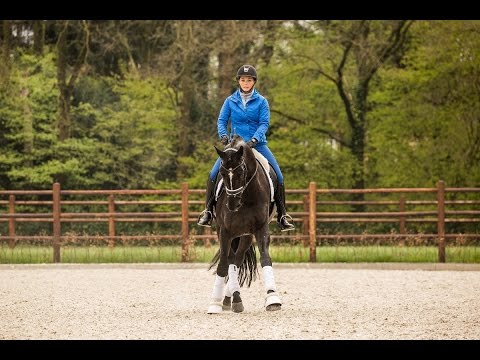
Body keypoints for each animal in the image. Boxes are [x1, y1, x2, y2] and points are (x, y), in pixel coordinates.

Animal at [206, 134, 282, 314]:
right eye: (221, 172)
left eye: (241, 171)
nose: (232, 204)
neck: (246, 197)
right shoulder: (225, 231)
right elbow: (223, 264)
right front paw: (214, 303)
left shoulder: (260, 229)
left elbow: (265, 258)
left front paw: (272, 298)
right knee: (231, 260)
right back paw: (231, 299)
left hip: (246, 235)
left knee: (237, 260)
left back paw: (233, 299)